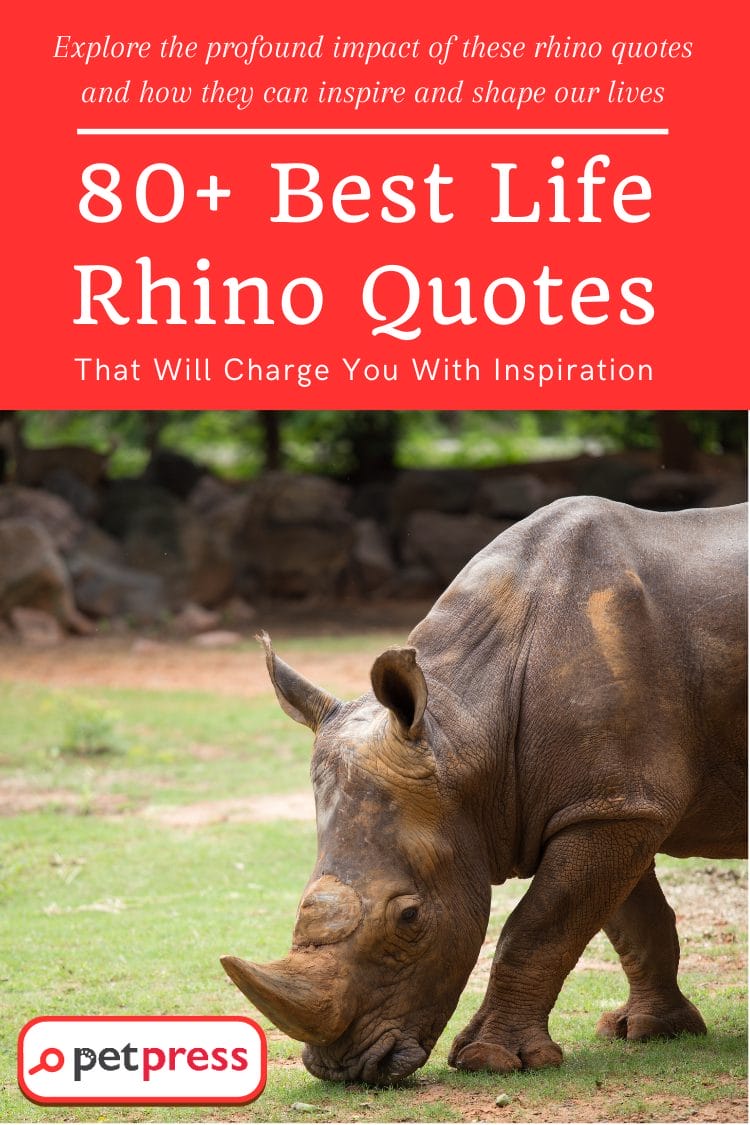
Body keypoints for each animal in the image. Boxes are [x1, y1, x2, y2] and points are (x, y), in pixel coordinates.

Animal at [222, 497, 747, 1083]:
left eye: (410, 917)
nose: (344, 1070)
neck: (462, 730)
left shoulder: (616, 807)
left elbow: (538, 928)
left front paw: (491, 1061)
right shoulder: (615, 802)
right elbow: (634, 922)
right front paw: (653, 1031)